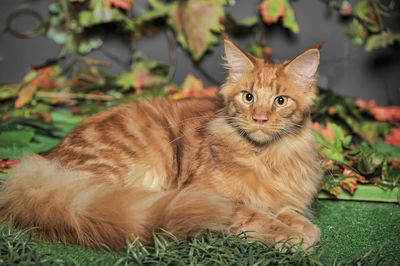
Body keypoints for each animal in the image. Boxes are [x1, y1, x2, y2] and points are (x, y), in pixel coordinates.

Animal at [0, 36, 322, 250]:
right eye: (248, 97)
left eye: (280, 101)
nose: (259, 119)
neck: (266, 156)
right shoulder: (210, 194)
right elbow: (254, 215)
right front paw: (291, 236)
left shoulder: (283, 195)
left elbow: (290, 212)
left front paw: (302, 227)